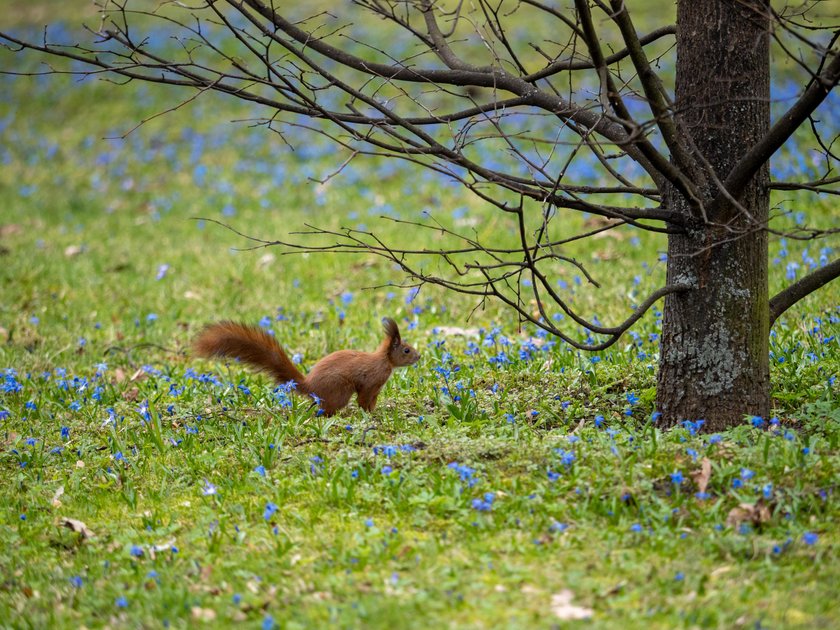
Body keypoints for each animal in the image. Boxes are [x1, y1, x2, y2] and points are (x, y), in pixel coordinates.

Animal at [192, 318, 418, 418]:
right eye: (406, 350)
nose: (419, 356)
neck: (384, 361)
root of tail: (310, 386)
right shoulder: (371, 382)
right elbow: (364, 400)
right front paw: (368, 414)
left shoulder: (375, 388)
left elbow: (371, 401)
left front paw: (374, 411)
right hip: (340, 389)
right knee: (326, 409)